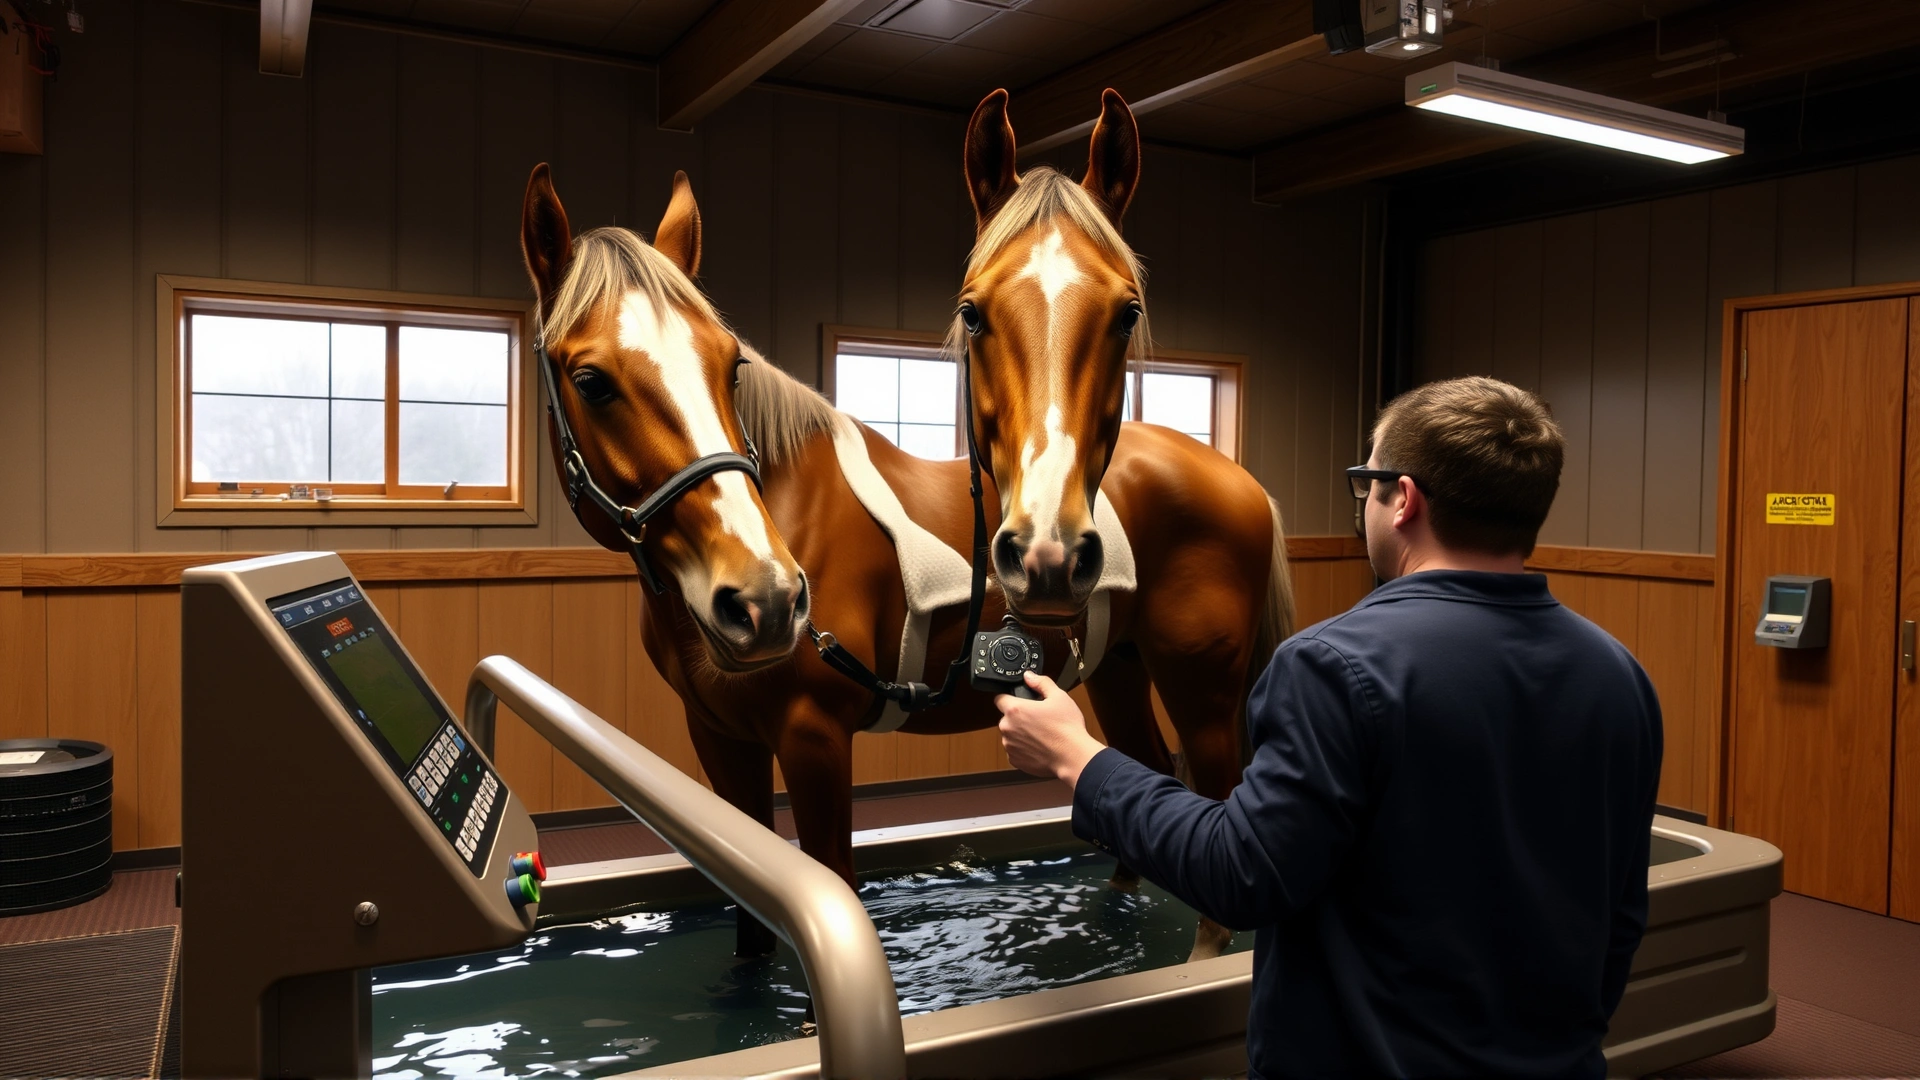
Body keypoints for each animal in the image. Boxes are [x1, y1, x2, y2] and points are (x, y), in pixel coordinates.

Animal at [517, 96, 1288, 964]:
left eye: (729, 364)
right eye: (591, 380)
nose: (765, 601)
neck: (787, 510)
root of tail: (1241, 481)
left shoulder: (814, 738)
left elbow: (831, 878)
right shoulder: (720, 737)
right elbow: (753, 919)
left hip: (1202, 686)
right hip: (1120, 667)